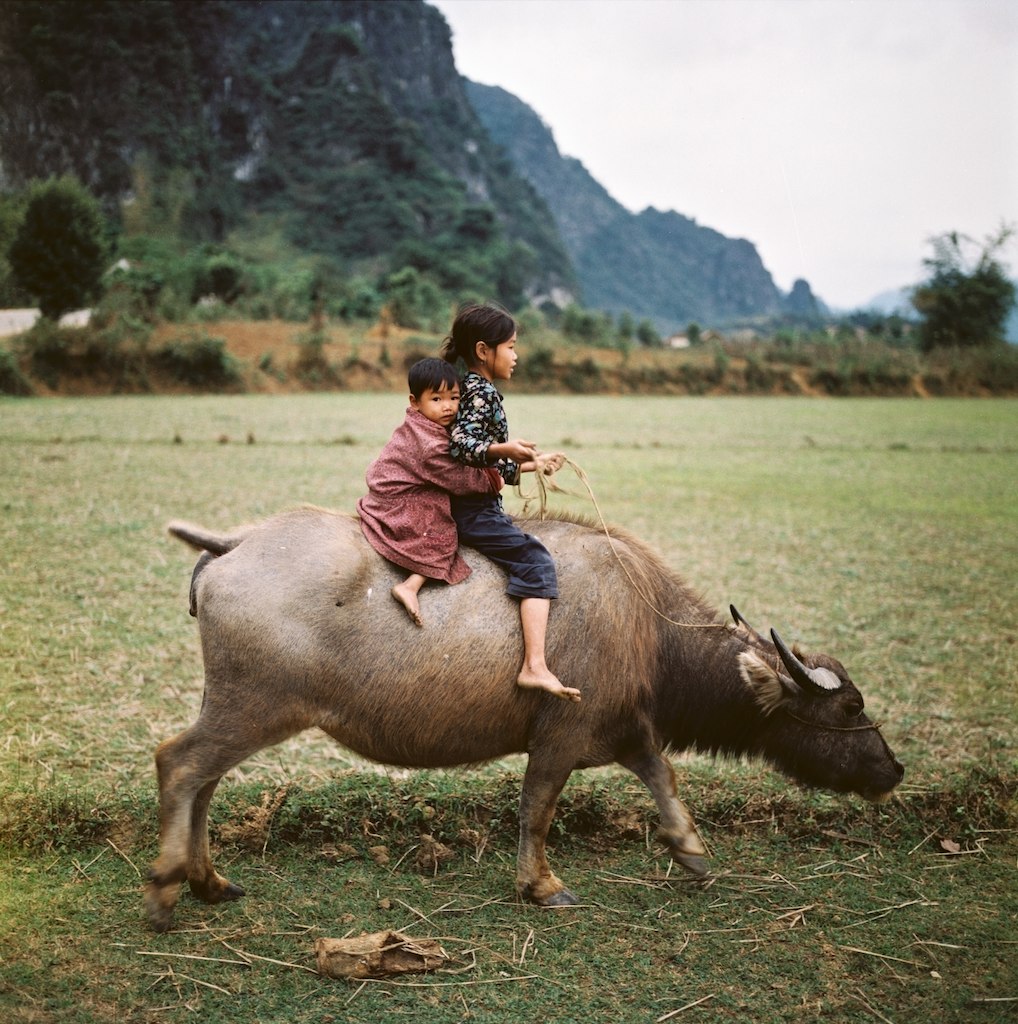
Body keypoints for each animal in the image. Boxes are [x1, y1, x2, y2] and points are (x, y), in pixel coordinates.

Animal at [146, 507, 901, 933]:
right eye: (850, 706)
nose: (893, 769)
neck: (649, 629)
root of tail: (234, 544)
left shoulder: (627, 729)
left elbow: (664, 779)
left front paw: (691, 852)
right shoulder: (560, 737)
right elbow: (537, 808)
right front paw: (541, 885)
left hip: (235, 705)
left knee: (203, 781)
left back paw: (209, 881)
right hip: (257, 706)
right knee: (179, 764)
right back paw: (166, 890)